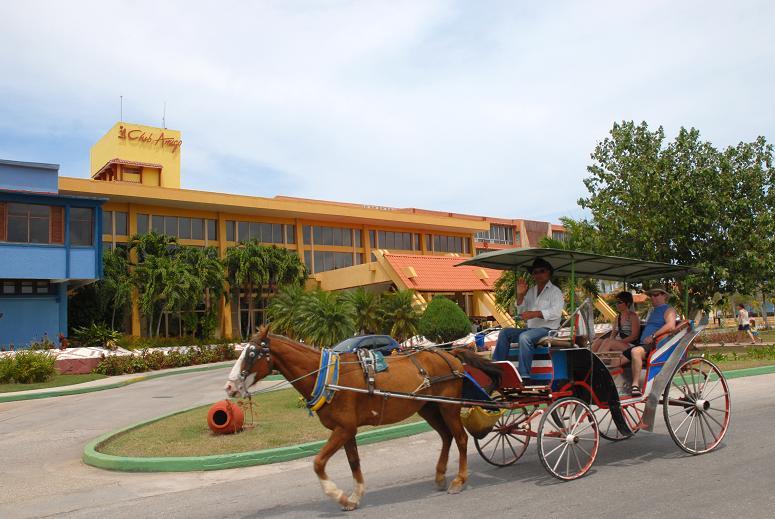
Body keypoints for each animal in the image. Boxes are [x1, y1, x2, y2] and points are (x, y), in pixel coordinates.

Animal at [227, 330, 500, 512]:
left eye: (252, 354)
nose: (229, 387)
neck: (329, 376)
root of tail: (449, 354)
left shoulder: (343, 429)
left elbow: (318, 463)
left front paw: (337, 494)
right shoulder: (347, 430)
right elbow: (354, 462)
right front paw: (354, 497)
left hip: (448, 407)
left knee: (461, 438)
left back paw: (458, 480)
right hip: (429, 408)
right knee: (446, 436)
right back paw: (441, 475)